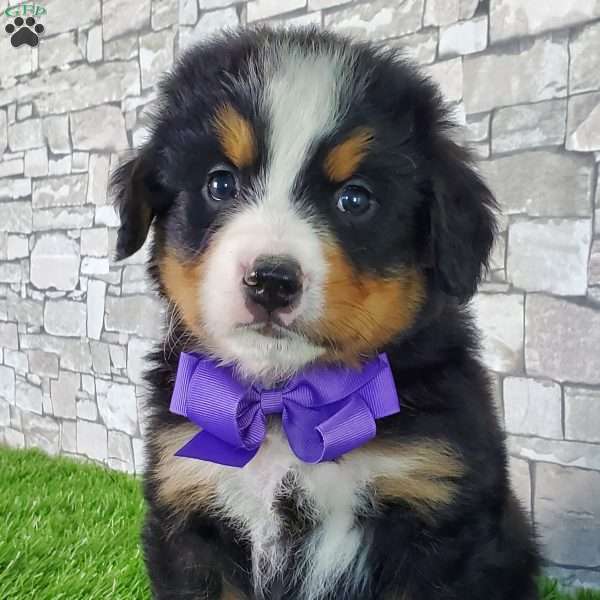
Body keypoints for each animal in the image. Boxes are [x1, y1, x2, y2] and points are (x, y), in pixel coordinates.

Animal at [111, 27, 540, 600]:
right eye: (220, 183)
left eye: (354, 199)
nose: (270, 281)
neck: (284, 401)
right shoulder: (192, 512)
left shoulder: (434, 513)